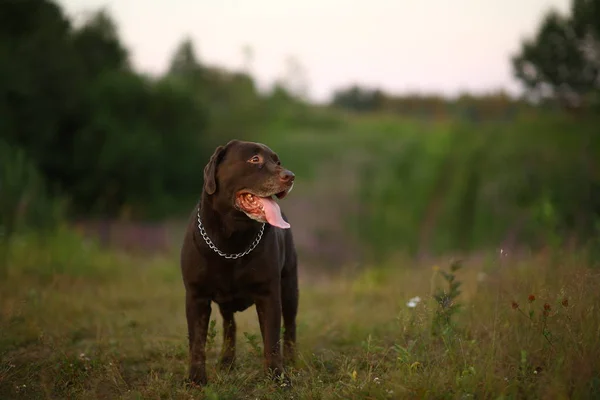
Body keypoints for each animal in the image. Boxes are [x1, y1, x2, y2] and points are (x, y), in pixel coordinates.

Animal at [179, 139, 298, 386]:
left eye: (277, 161)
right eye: (255, 159)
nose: (290, 175)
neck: (232, 241)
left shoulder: (269, 294)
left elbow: (272, 339)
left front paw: (277, 377)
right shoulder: (196, 296)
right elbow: (197, 342)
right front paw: (196, 379)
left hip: (290, 286)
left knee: (290, 325)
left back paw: (292, 361)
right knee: (229, 325)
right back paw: (227, 362)